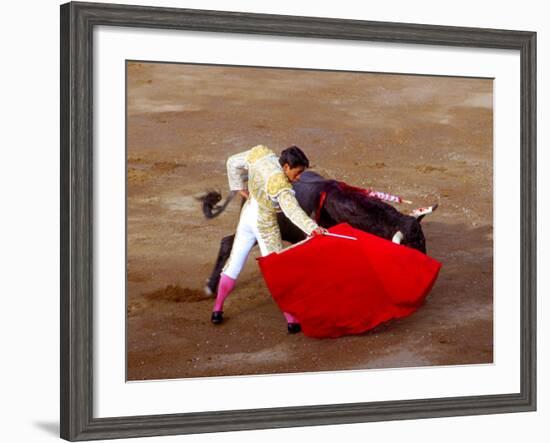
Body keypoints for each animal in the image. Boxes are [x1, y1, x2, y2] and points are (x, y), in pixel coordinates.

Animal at [204, 172, 432, 296]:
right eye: (409, 251)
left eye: (423, 242)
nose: (426, 281)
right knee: (228, 244)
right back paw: (210, 287)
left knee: (228, 242)